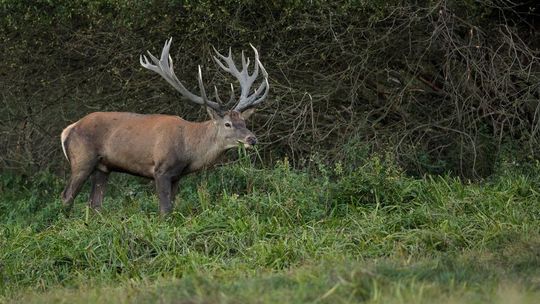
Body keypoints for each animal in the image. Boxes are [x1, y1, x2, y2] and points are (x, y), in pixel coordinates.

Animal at [60, 38, 268, 214]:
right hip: (82, 159)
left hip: (103, 167)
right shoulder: (161, 170)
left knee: (94, 203)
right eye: (227, 124)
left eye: (244, 122)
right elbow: (165, 210)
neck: (188, 149)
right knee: (67, 196)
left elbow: (172, 207)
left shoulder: (177, 176)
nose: (252, 139)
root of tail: (68, 130)